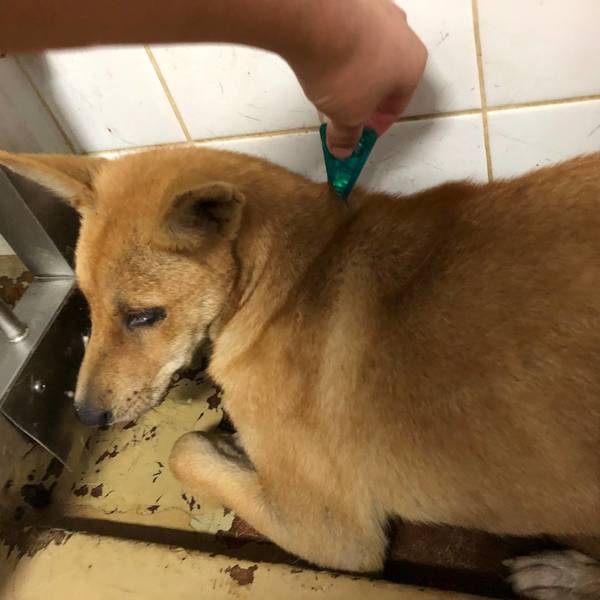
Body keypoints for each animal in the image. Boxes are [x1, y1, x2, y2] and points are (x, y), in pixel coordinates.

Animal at [2, 146, 600, 599]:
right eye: (87, 305)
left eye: (144, 316)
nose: (83, 416)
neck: (292, 279)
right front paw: (235, 449)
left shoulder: (331, 532)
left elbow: (185, 450)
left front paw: (224, 449)